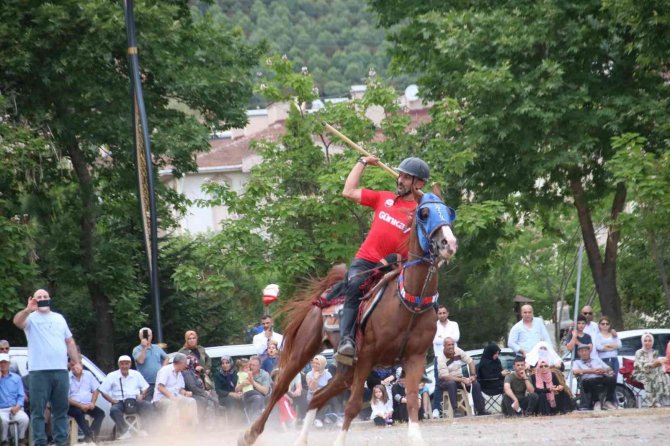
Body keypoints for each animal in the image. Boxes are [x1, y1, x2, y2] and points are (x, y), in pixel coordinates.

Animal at [239, 185, 460, 446]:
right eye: (424, 213)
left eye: (448, 212)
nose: (449, 243)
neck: (410, 303)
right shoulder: (367, 357)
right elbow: (353, 406)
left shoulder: (414, 358)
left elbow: (413, 401)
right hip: (304, 351)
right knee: (280, 388)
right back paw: (250, 434)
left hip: (345, 370)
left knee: (317, 397)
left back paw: (301, 440)